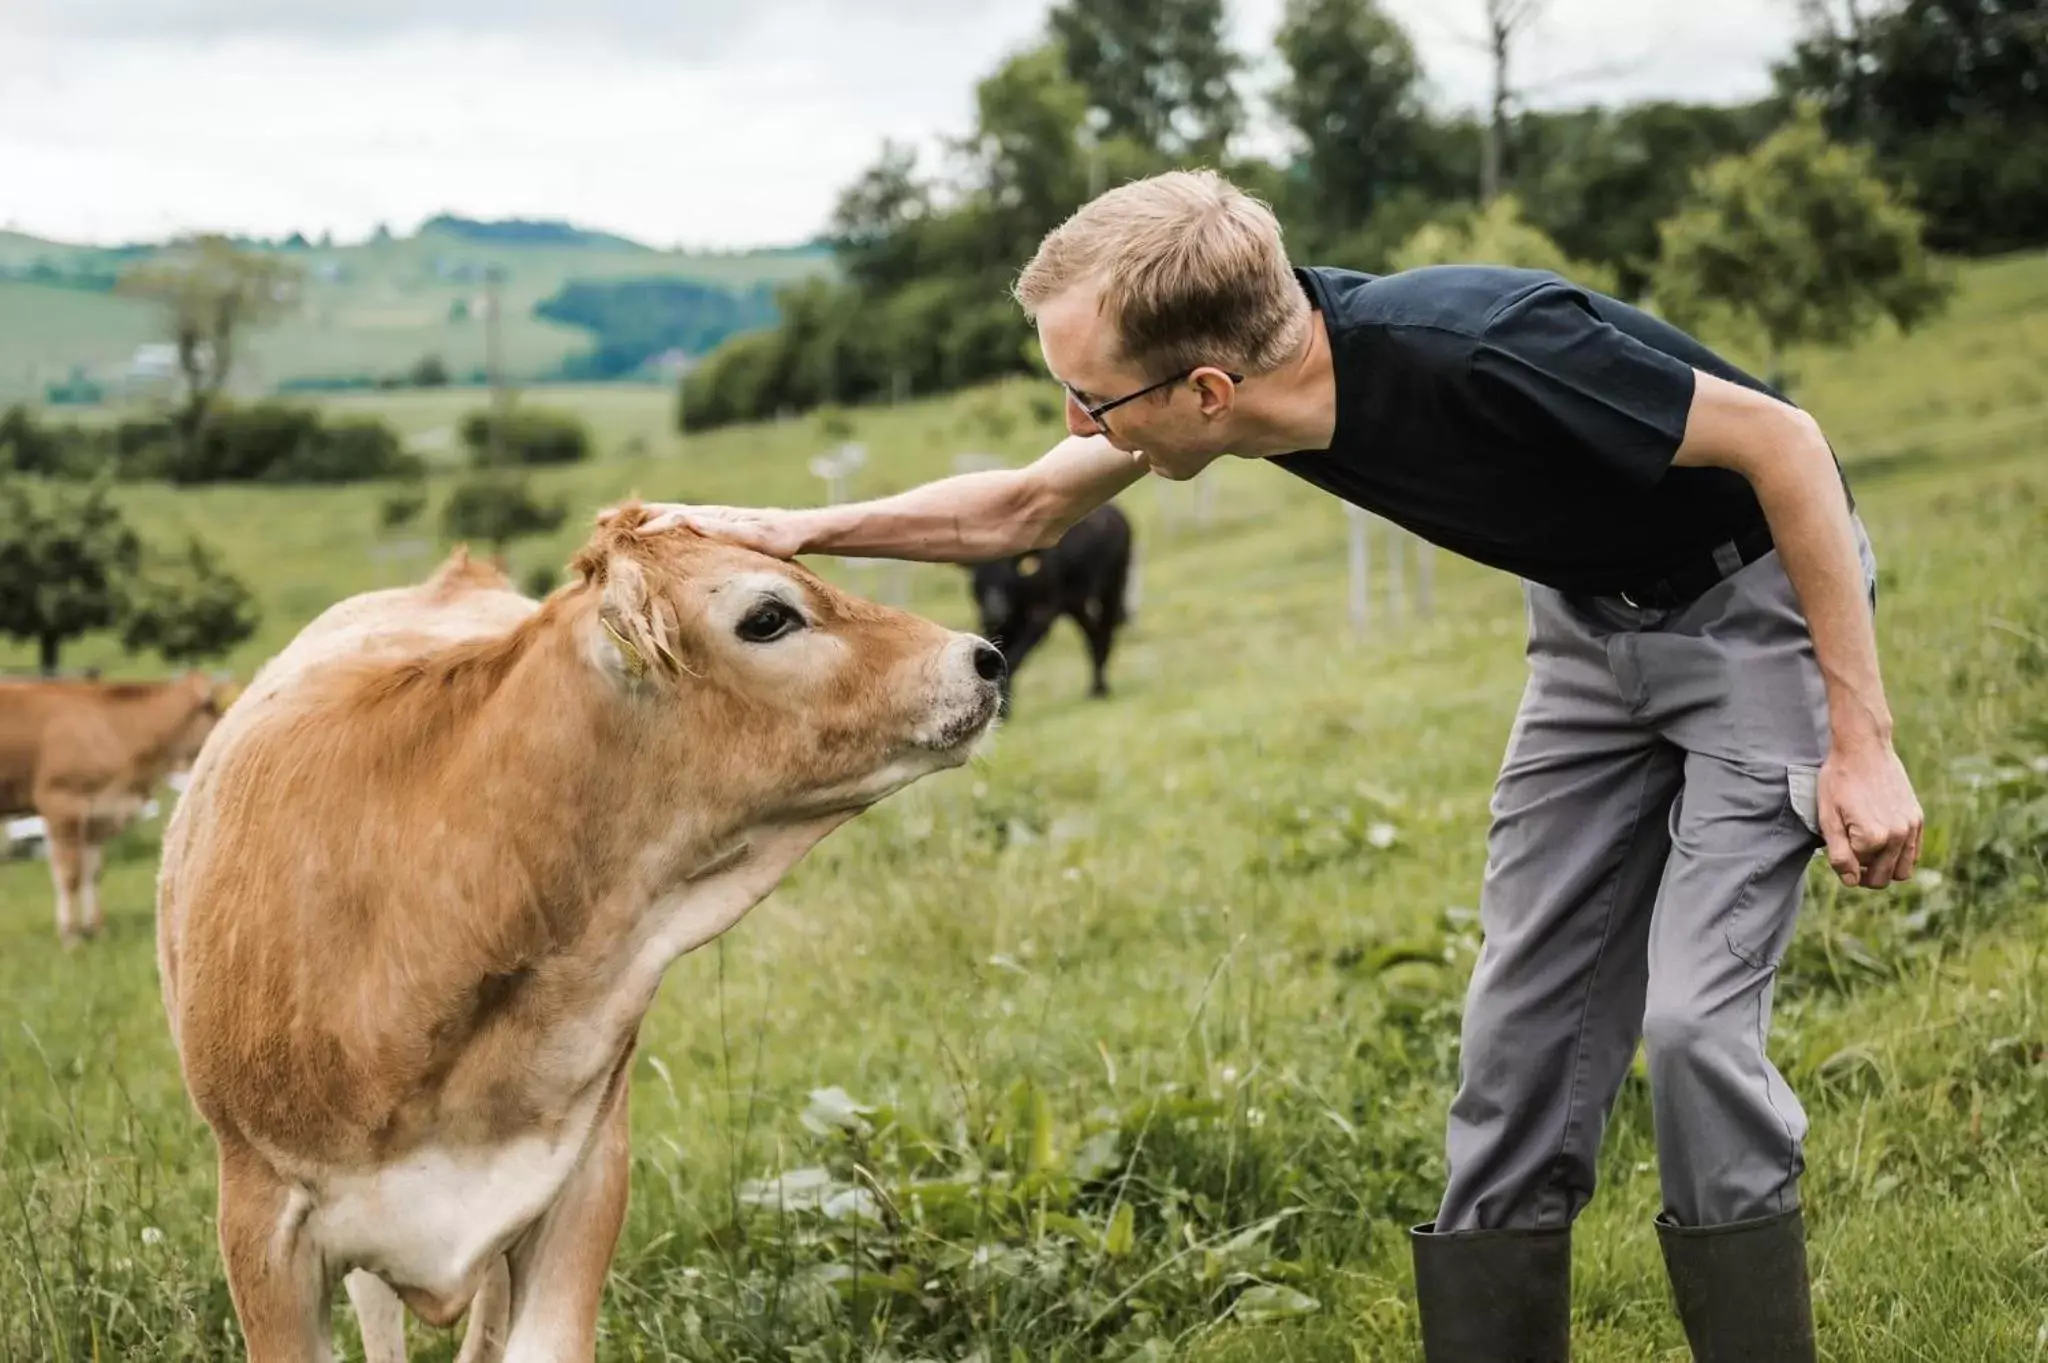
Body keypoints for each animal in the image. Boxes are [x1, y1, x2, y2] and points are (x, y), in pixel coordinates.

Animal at [962, 499, 1138, 712]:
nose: (995, 611)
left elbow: (1013, 657)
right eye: (976, 579)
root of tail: (1117, 512)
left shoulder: (1042, 612)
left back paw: (1099, 690)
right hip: (1076, 601)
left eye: (1008, 576)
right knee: (1092, 636)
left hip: (1112, 585)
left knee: (1105, 633)